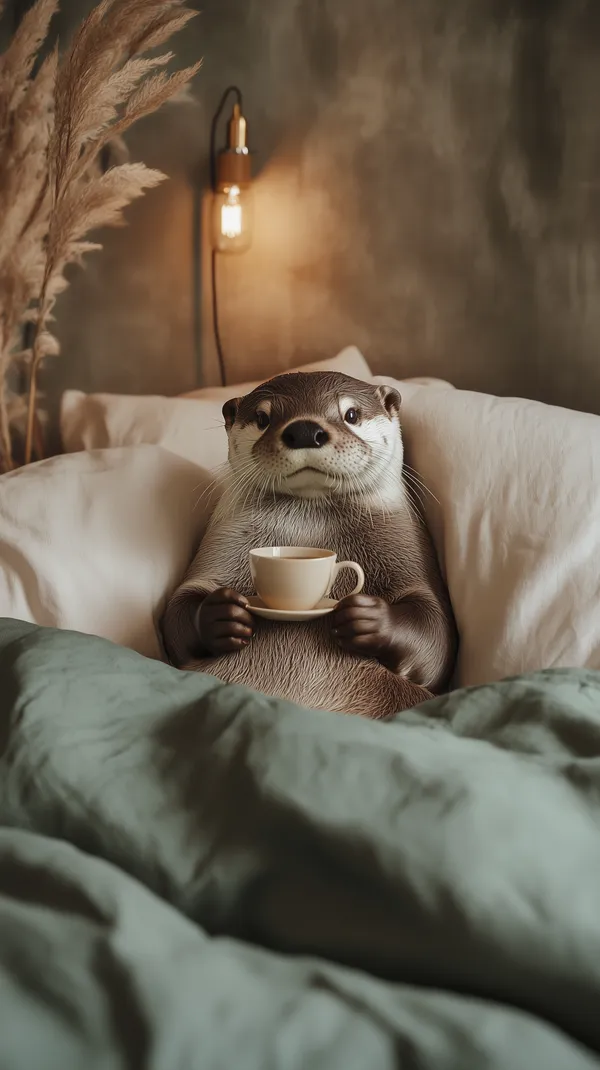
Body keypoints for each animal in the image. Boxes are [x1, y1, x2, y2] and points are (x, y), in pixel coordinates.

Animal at [161, 371, 457, 720]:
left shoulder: (409, 551)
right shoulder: (220, 545)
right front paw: (222, 614)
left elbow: (435, 634)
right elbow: (179, 610)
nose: (304, 430)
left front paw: (366, 618)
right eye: (263, 418)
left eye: (351, 414)